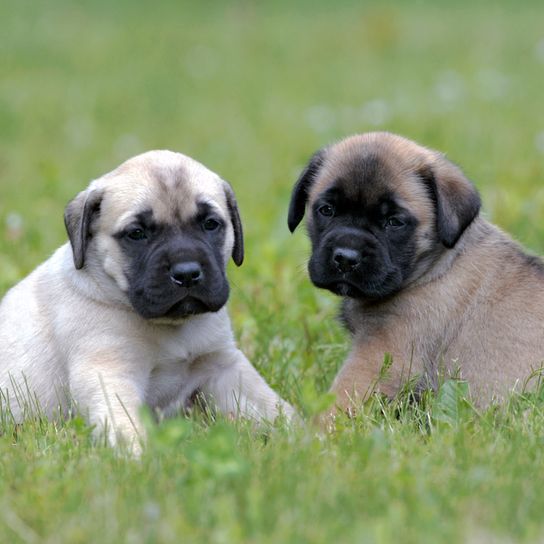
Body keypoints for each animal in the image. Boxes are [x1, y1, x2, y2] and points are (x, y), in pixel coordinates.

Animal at [0, 150, 294, 450]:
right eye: (137, 234)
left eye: (210, 225)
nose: (187, 273)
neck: (172, 329)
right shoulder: (110, 373)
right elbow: (125, 424)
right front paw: (141, 456)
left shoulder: (223, 367)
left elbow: (271, 405)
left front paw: (302, 436)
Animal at [292, 132, 544, 412]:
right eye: (327, 210)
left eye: (394, 222)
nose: (346, 258)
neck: (434, 267)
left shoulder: (380, 355)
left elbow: (339, 401)